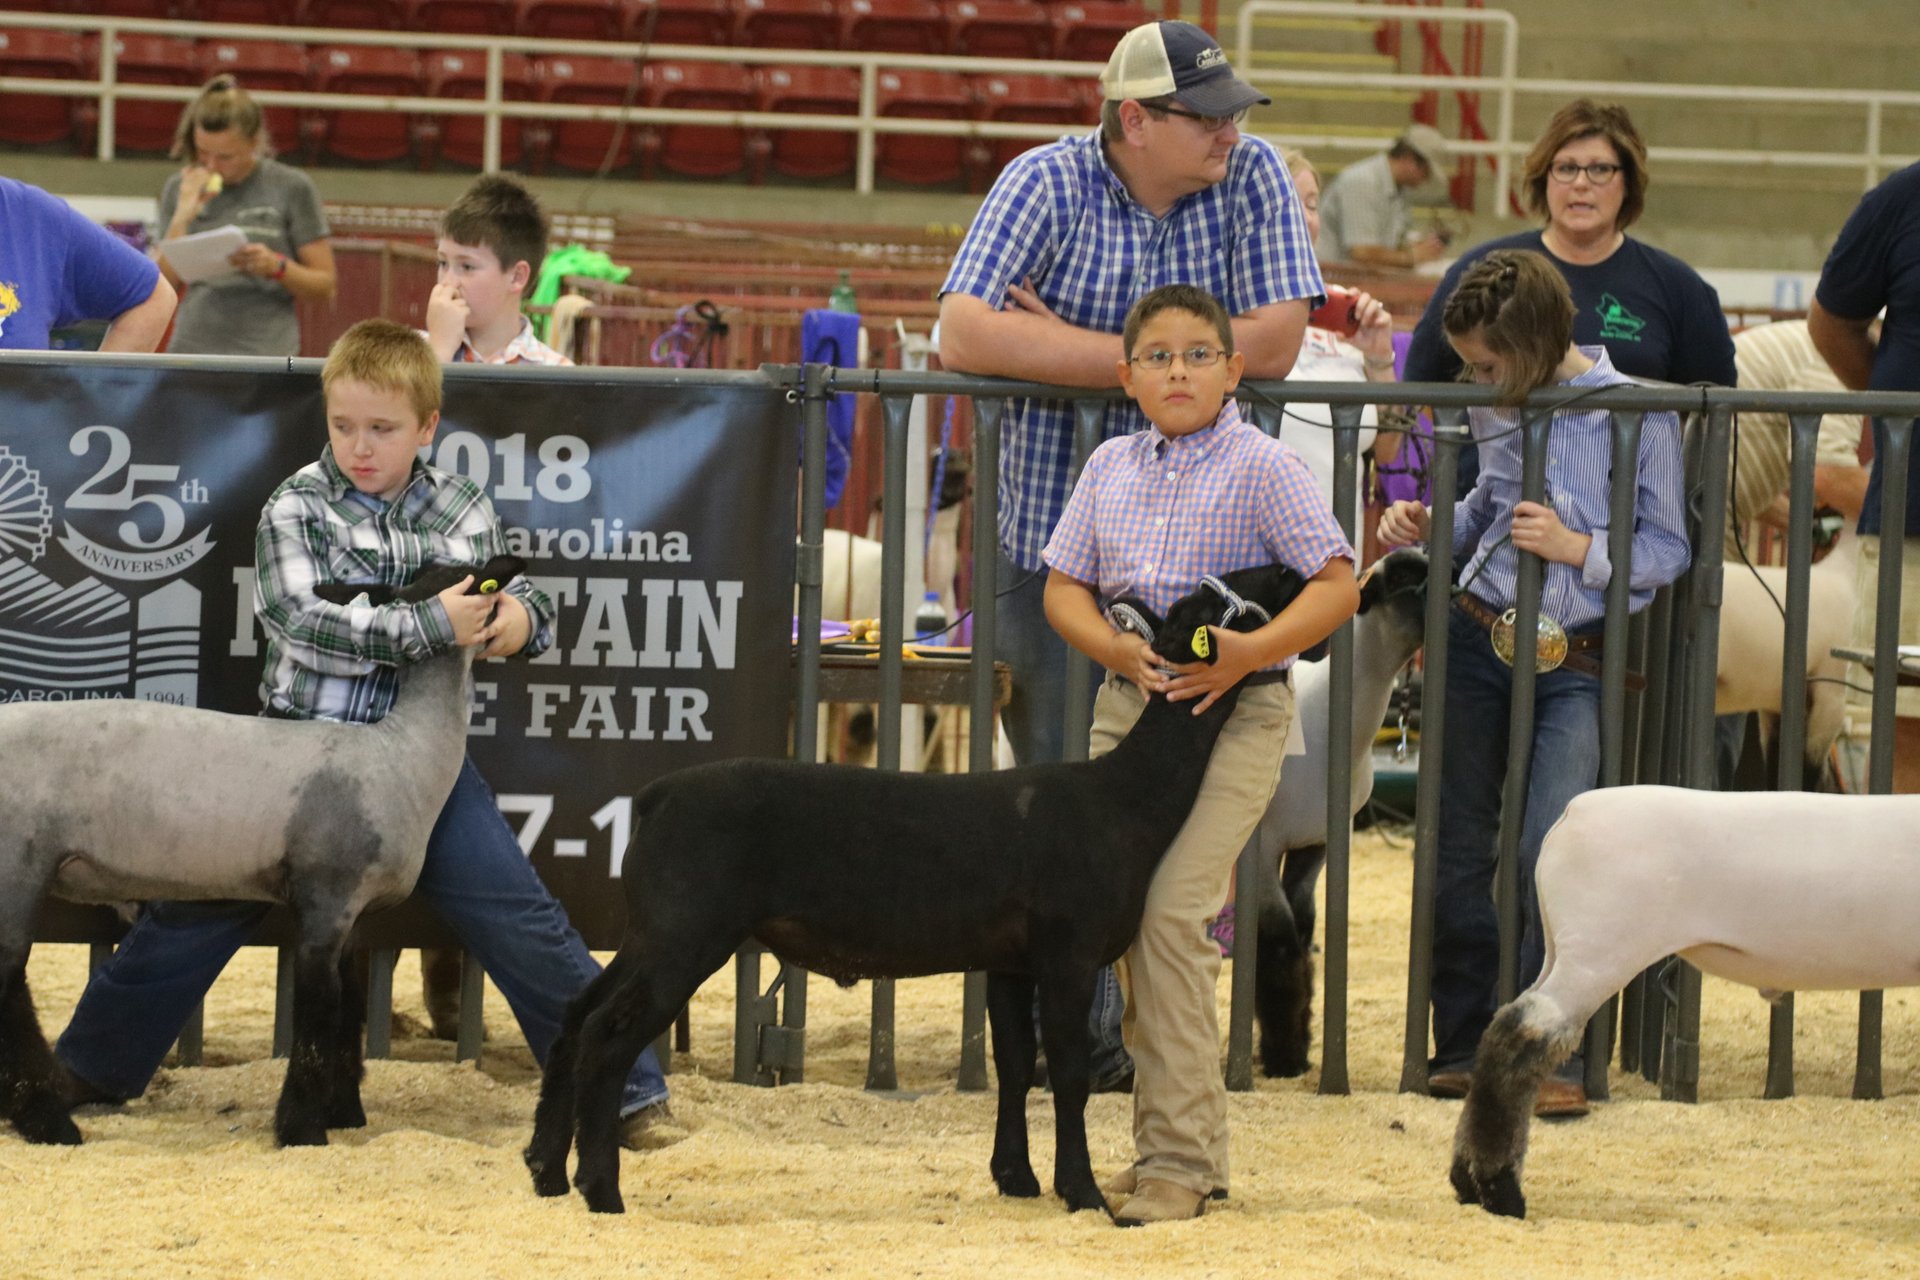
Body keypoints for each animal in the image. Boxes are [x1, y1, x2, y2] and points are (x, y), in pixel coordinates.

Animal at [1451, 782, 1920, 1220]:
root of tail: (1573, 813)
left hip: (1564, 950)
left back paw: (1466, 1182)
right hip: (1599, 951)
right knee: (1520, 1037)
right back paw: (1500, 1193)